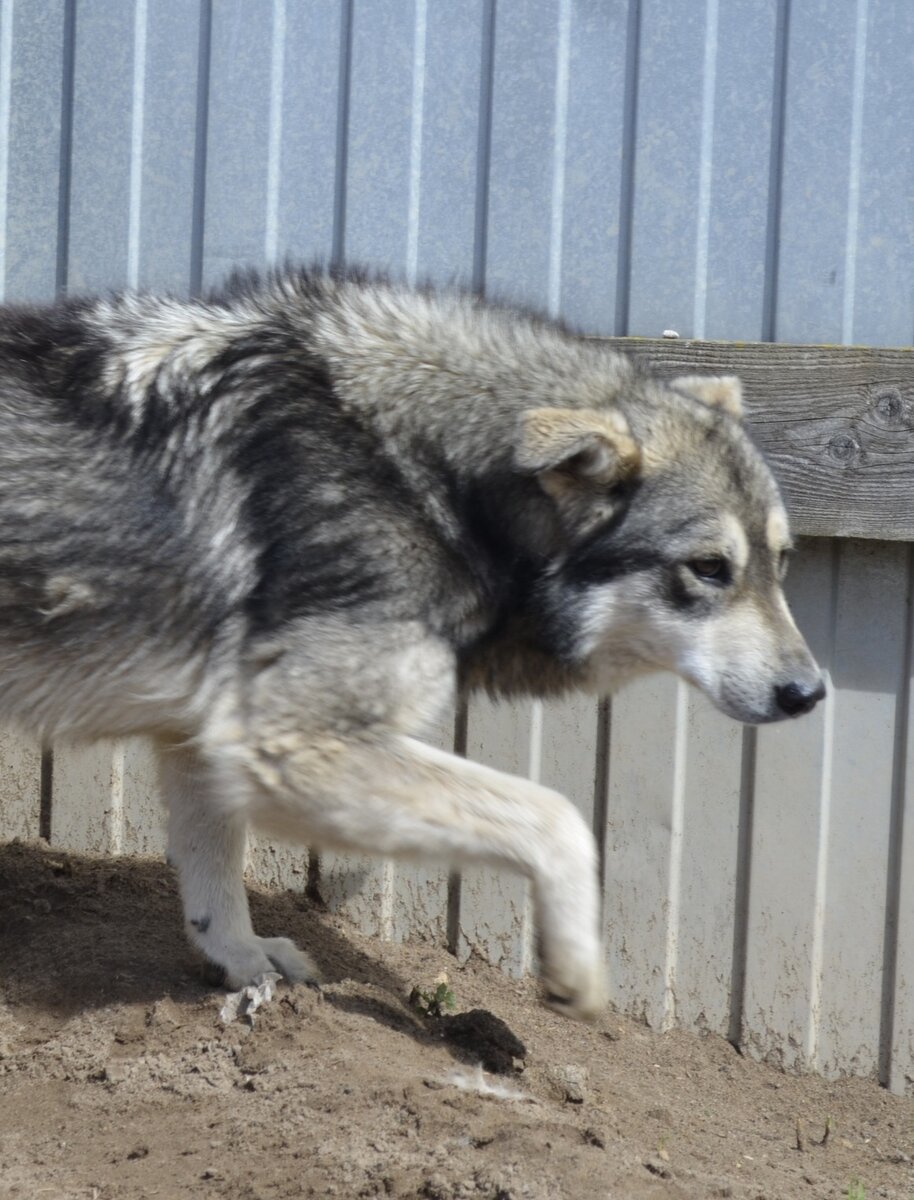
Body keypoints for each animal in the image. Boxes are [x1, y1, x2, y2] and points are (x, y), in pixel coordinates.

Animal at [0, 267, 820, 1017]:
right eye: (709, 569)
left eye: (781, 563)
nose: (809, 694)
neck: (419, 477)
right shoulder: (290, 745)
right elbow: (556, 817)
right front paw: (577, 971)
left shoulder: (207, 741)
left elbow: (214, 876)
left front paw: (242, 962)